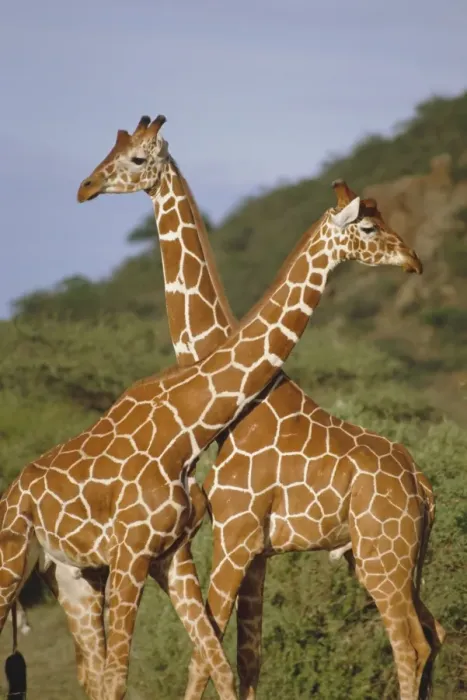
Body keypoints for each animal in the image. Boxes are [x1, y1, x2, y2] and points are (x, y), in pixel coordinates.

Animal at [2, 132, 423, 700]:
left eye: (135, 157)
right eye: (371, 225)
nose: (413, 259)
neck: (193, 421)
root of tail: (424, 485)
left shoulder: (213, 545)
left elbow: (216, 659)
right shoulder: (225, 545)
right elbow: (223, 659)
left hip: (381, 559)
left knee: (414, 644)